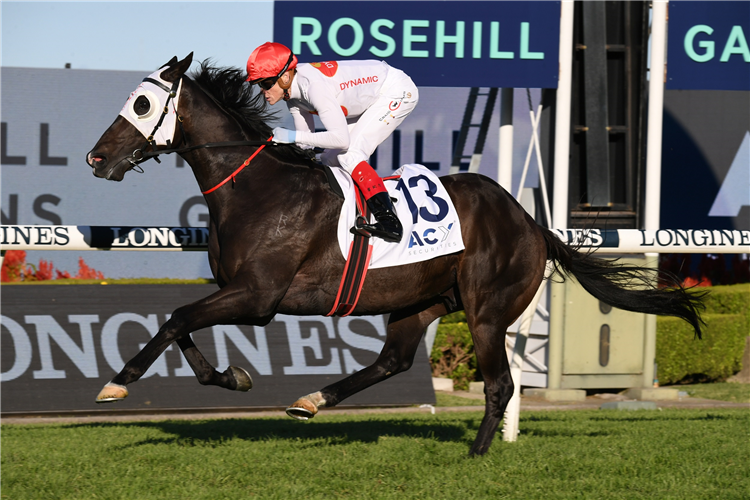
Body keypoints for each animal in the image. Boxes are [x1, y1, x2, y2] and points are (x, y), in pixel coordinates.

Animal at [86, 54, 704, 458]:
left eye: (141, 102)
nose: (96, 157)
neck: (258, 190)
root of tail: (532, 224)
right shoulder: (239, 294)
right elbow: (181, 325)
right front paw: (230, 377)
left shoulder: (259, 297)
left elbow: (177, 318)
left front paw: (117, 383)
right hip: (420, 301)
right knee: (394, 361)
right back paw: (312, 400)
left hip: (485, 310)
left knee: (499, 384)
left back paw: (477, 452)